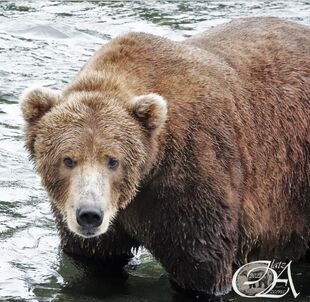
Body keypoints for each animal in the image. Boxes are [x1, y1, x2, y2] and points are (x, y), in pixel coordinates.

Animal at [20, 16, 308, 294]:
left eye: (113, 160)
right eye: (68, 159)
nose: (90, 214)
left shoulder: (192, 178)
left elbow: (200, 266)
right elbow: (94, 259)